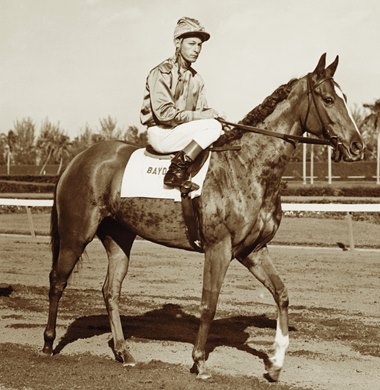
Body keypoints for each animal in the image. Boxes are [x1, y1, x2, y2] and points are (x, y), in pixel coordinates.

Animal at [42, 54, 366, 380]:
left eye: (345, 97)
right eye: (328, 99)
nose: (358, 146)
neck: (247, 165)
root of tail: (77, 159)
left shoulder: (253, 250)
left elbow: (282, 293)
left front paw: (275, 363)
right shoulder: (218, 248)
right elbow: (209, 303)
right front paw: (199, 361)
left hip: (118, 237)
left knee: (111, 291)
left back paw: (124, 352)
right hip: (76, 234)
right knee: (57, 281)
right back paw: (48, 343)